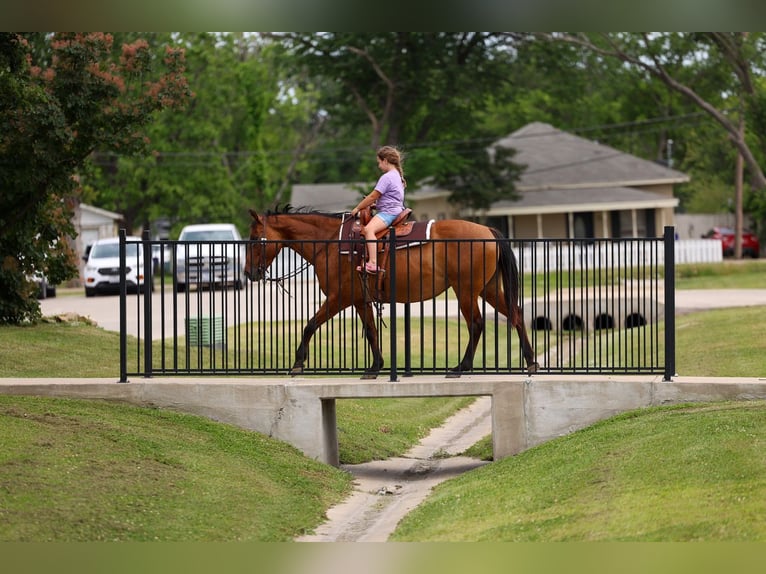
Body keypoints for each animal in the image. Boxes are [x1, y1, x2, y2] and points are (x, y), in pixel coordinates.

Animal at [244, 206, 538, 378]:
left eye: (254, 239)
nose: (249, 273)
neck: (330, 243)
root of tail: (486, 229)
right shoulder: (360, 300)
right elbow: (371, 332)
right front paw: (375, 366)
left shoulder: (339, 298)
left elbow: (310, 325)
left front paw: (298, 363)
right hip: (488, 289)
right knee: (516, 314)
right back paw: (531, 361)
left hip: (466, 290)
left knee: (476, 324)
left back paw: (461, 367)